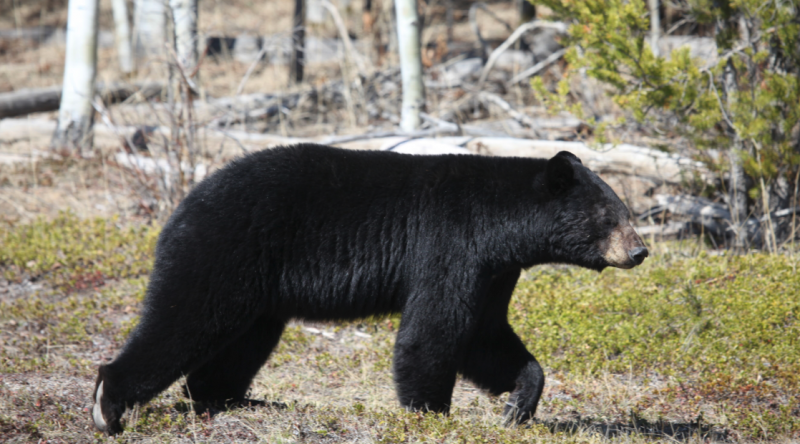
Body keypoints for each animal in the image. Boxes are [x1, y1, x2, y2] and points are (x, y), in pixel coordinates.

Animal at [90, 145, 648, 434]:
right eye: (611, 216)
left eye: (626, 212)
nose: (640, 251)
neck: (499, 224)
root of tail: (185, 202)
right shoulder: (451, 243)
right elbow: (435, 329)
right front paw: (430, 413)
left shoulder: (493, 271)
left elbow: (486, 337)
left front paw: (518, 406)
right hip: (222, 254)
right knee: (182, 319)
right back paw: (108, 404)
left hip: (257, 290)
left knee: (239, 345)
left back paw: (237, 401)